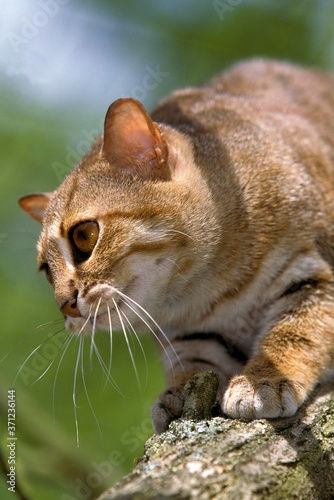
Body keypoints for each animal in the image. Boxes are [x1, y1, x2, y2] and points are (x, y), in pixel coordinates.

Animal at [18, 59, 334, 434]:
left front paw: (264, 379)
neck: (208, 293)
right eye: (45, 270)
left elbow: (295, 331)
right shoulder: (191, 334)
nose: (65, 306)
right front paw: (179, 393)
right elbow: (193, 363)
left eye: (84, 236)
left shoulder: (315, 277)